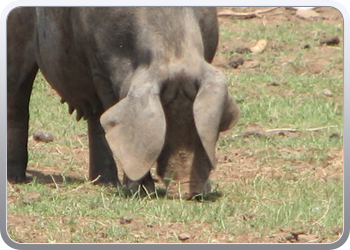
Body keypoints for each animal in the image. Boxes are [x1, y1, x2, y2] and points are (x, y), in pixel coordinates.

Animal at [6, 6, 239, 199]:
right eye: (163, 129)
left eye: (197, 125)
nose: (188, 189)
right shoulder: (100, 65)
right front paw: (140, 190)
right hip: (15, 38)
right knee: (17, 101)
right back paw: (16, 179)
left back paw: (105, 182)